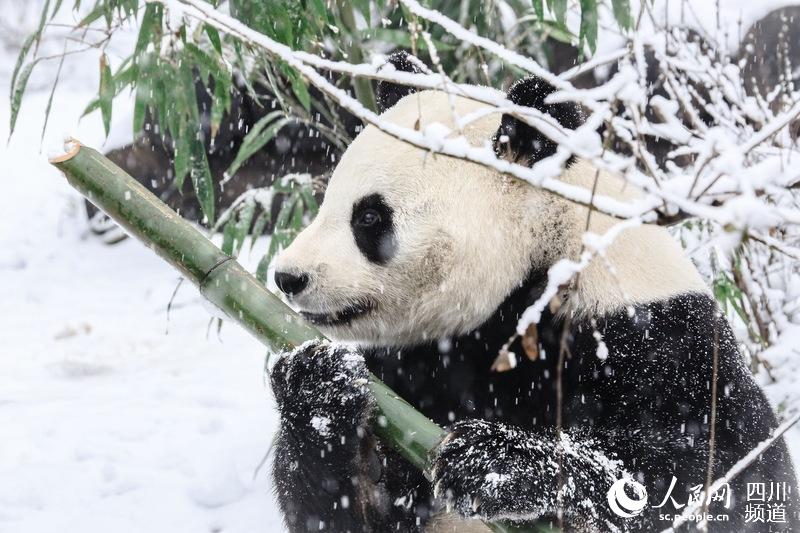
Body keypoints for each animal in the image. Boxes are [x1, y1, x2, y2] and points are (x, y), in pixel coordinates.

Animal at [268, 55, 792, 532]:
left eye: (370, 217)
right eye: (329, 200)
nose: (287, 277)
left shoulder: (656, 335)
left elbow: (720, 466)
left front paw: (493, 461)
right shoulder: (415, 372)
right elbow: (342, 512)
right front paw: (317, 387)